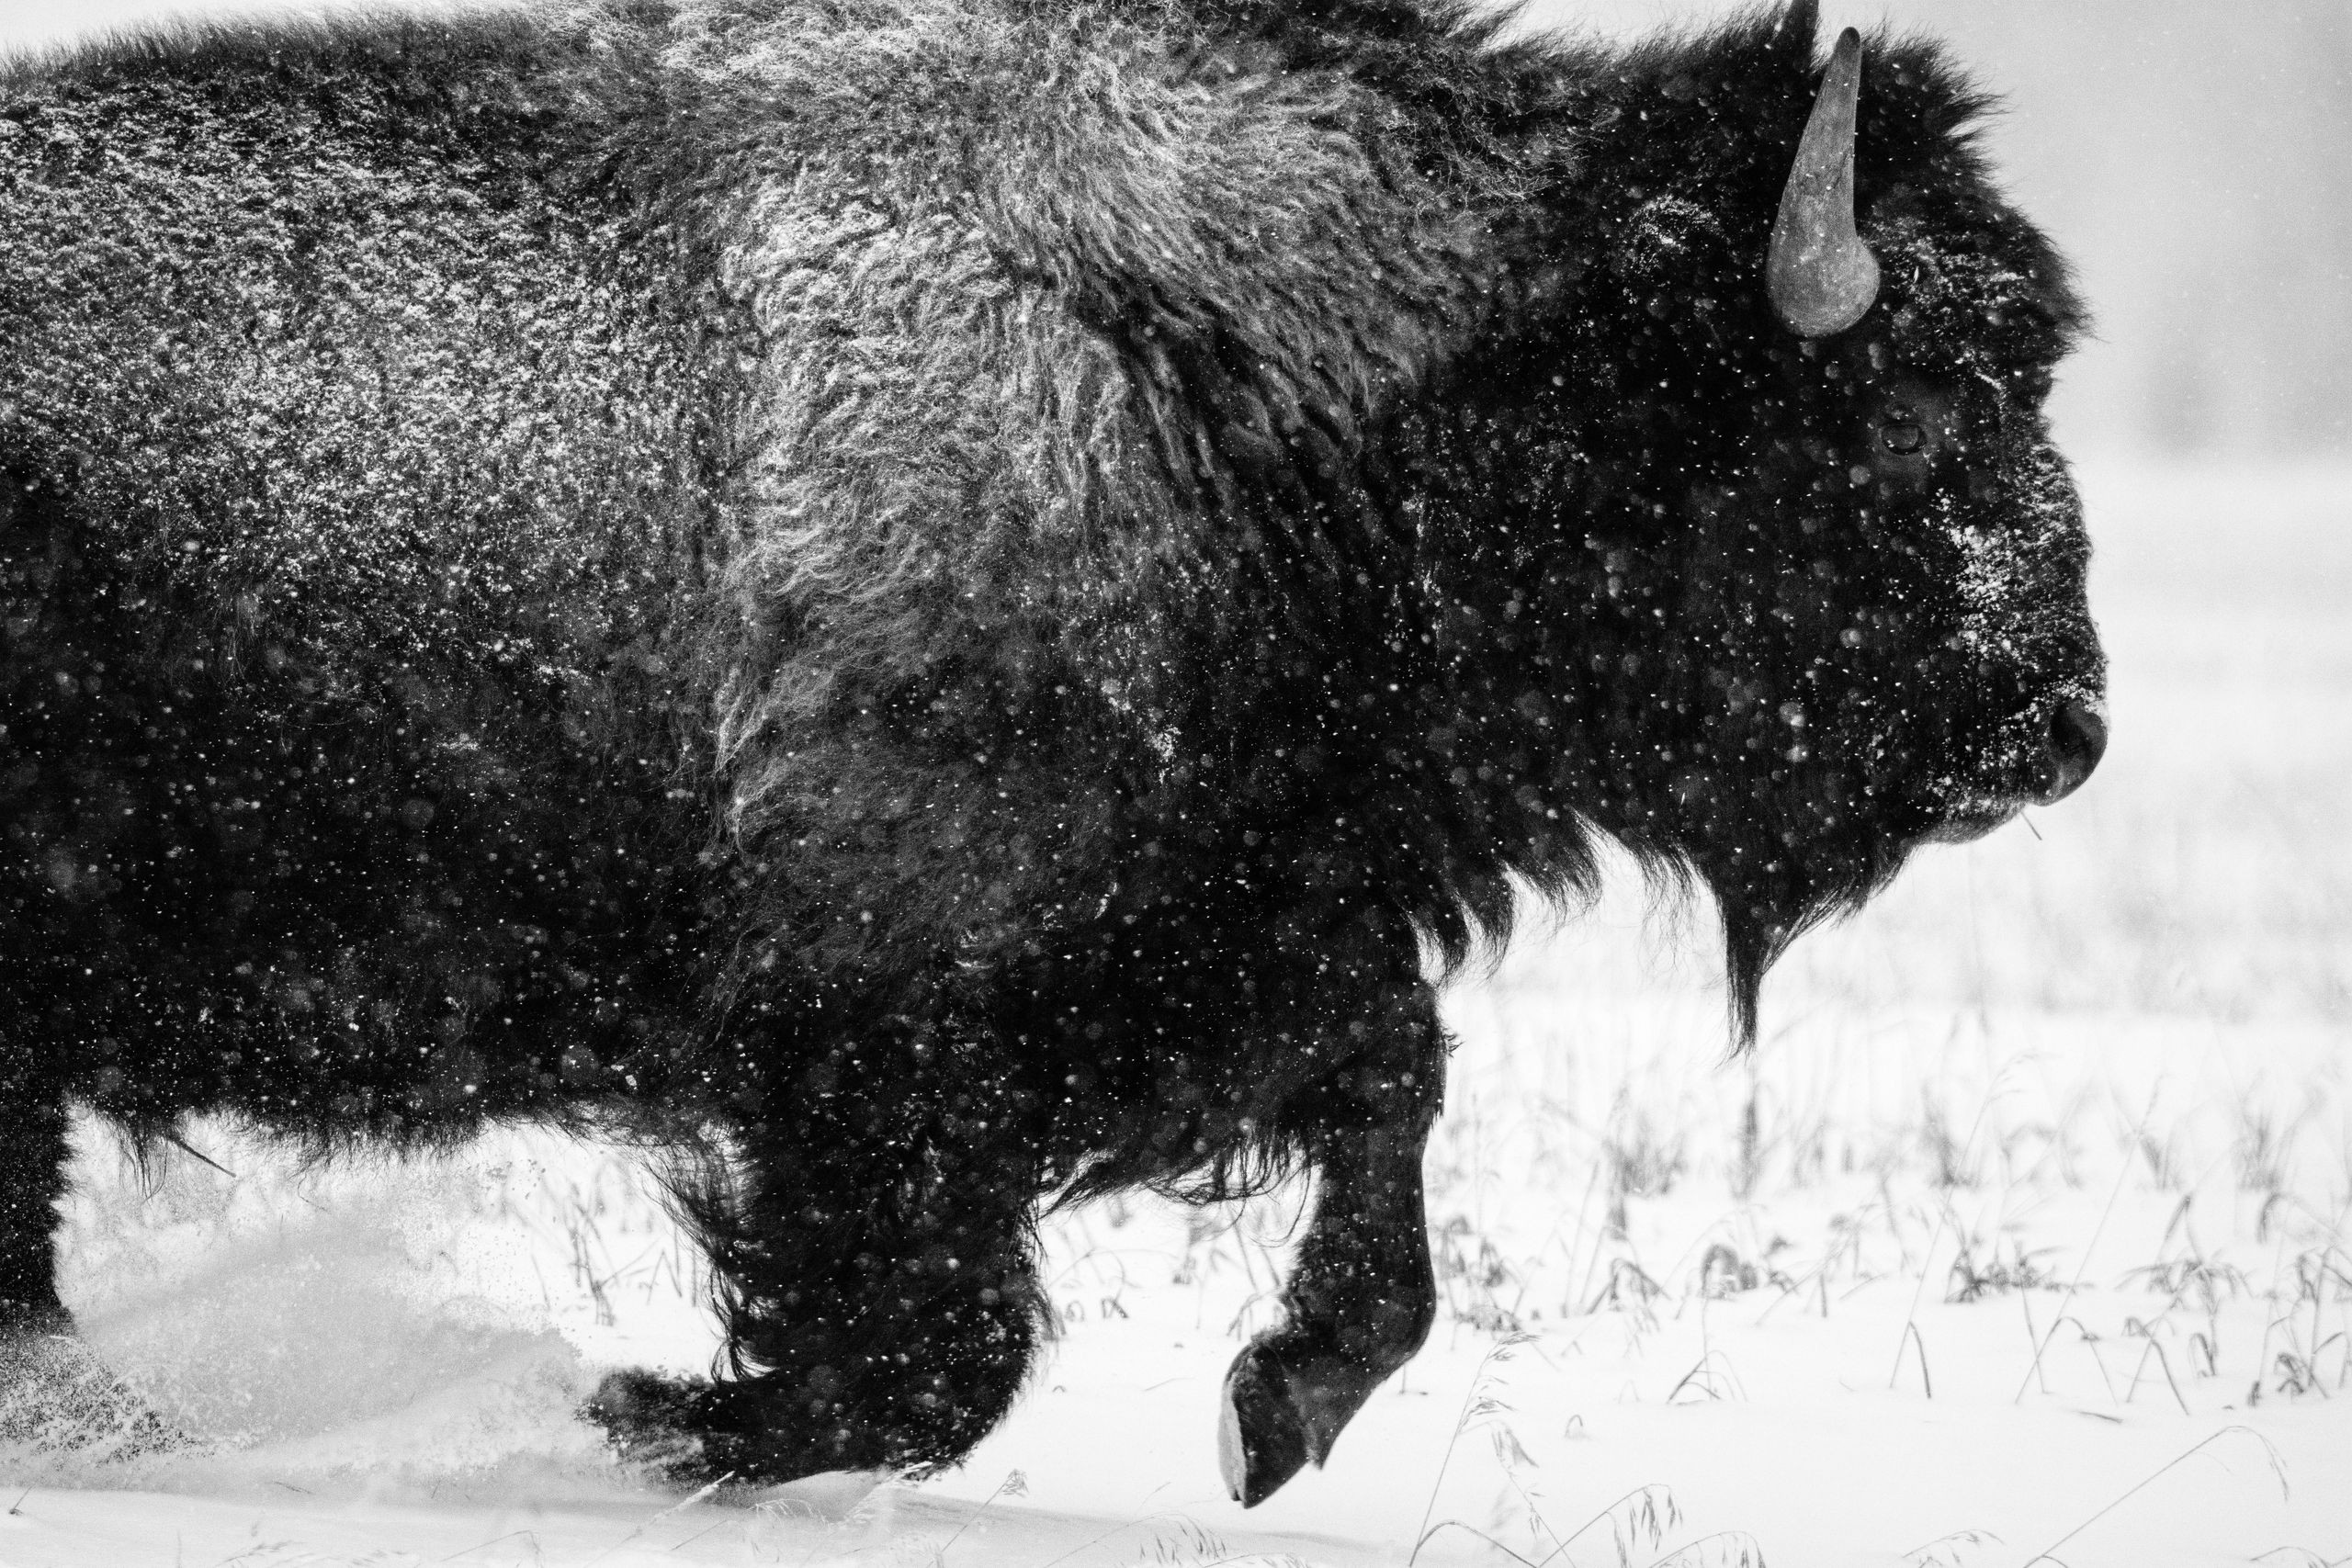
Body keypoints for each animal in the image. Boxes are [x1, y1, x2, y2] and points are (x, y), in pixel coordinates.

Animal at [0, 0, 2098, 1504]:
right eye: (1917, 400)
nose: (2061, 725)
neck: (1262, 382)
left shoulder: (1220, 938)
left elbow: (1386, 1093)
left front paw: (1277, 1409)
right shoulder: (885, 1026)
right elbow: (934, 1346)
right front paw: (639, 1412)